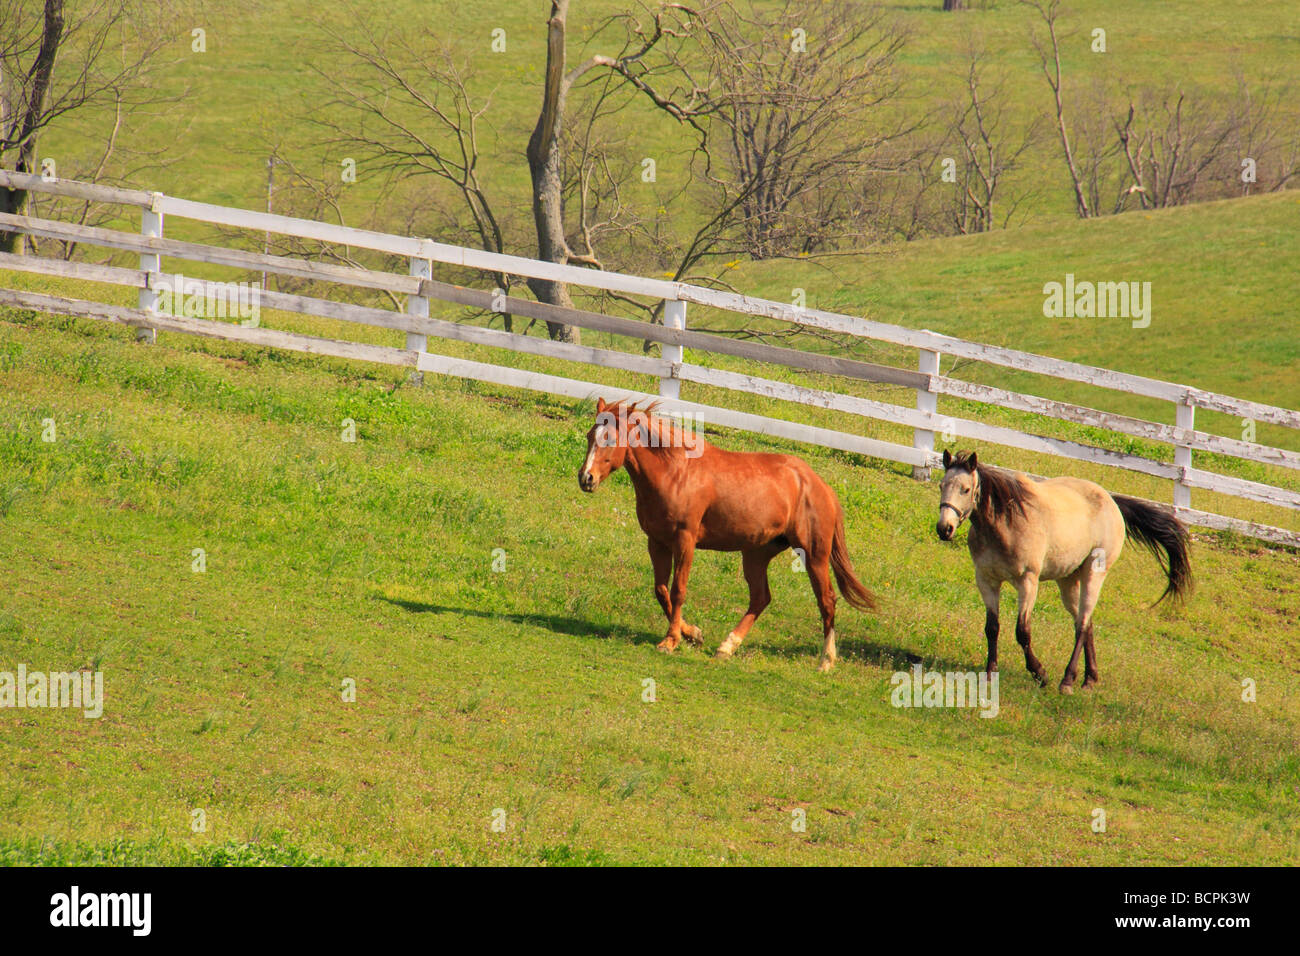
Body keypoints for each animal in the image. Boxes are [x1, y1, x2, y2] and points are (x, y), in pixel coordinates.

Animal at [578, 398, 879, 671]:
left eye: (610, 439)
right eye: (591, 435)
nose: (586, 478)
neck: (676, 473)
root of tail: (821, 487)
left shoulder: (685, 542)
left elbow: (678, 590)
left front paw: (671, 641)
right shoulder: (657, 542)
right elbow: (661, 590)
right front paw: (692, 634)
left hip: (814, 554)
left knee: (826, 600)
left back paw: (826, 660)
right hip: (756, 554)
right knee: (761, 597)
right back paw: (726, 647)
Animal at [935, 449, 1192, 694]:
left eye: (966, 489)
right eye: (941, 485)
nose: (944, 529)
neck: (1006, 524)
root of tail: (1111, 500)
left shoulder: (1028, 582)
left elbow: (1022, 632)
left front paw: (1040, 673)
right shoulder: (986, 580)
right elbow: (992, 628)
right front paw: (990, 673)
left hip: (1093, 574)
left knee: (1082, 624)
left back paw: (1067, 681)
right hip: (1068, 581)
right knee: (1085, 622)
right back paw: (1089, 679)